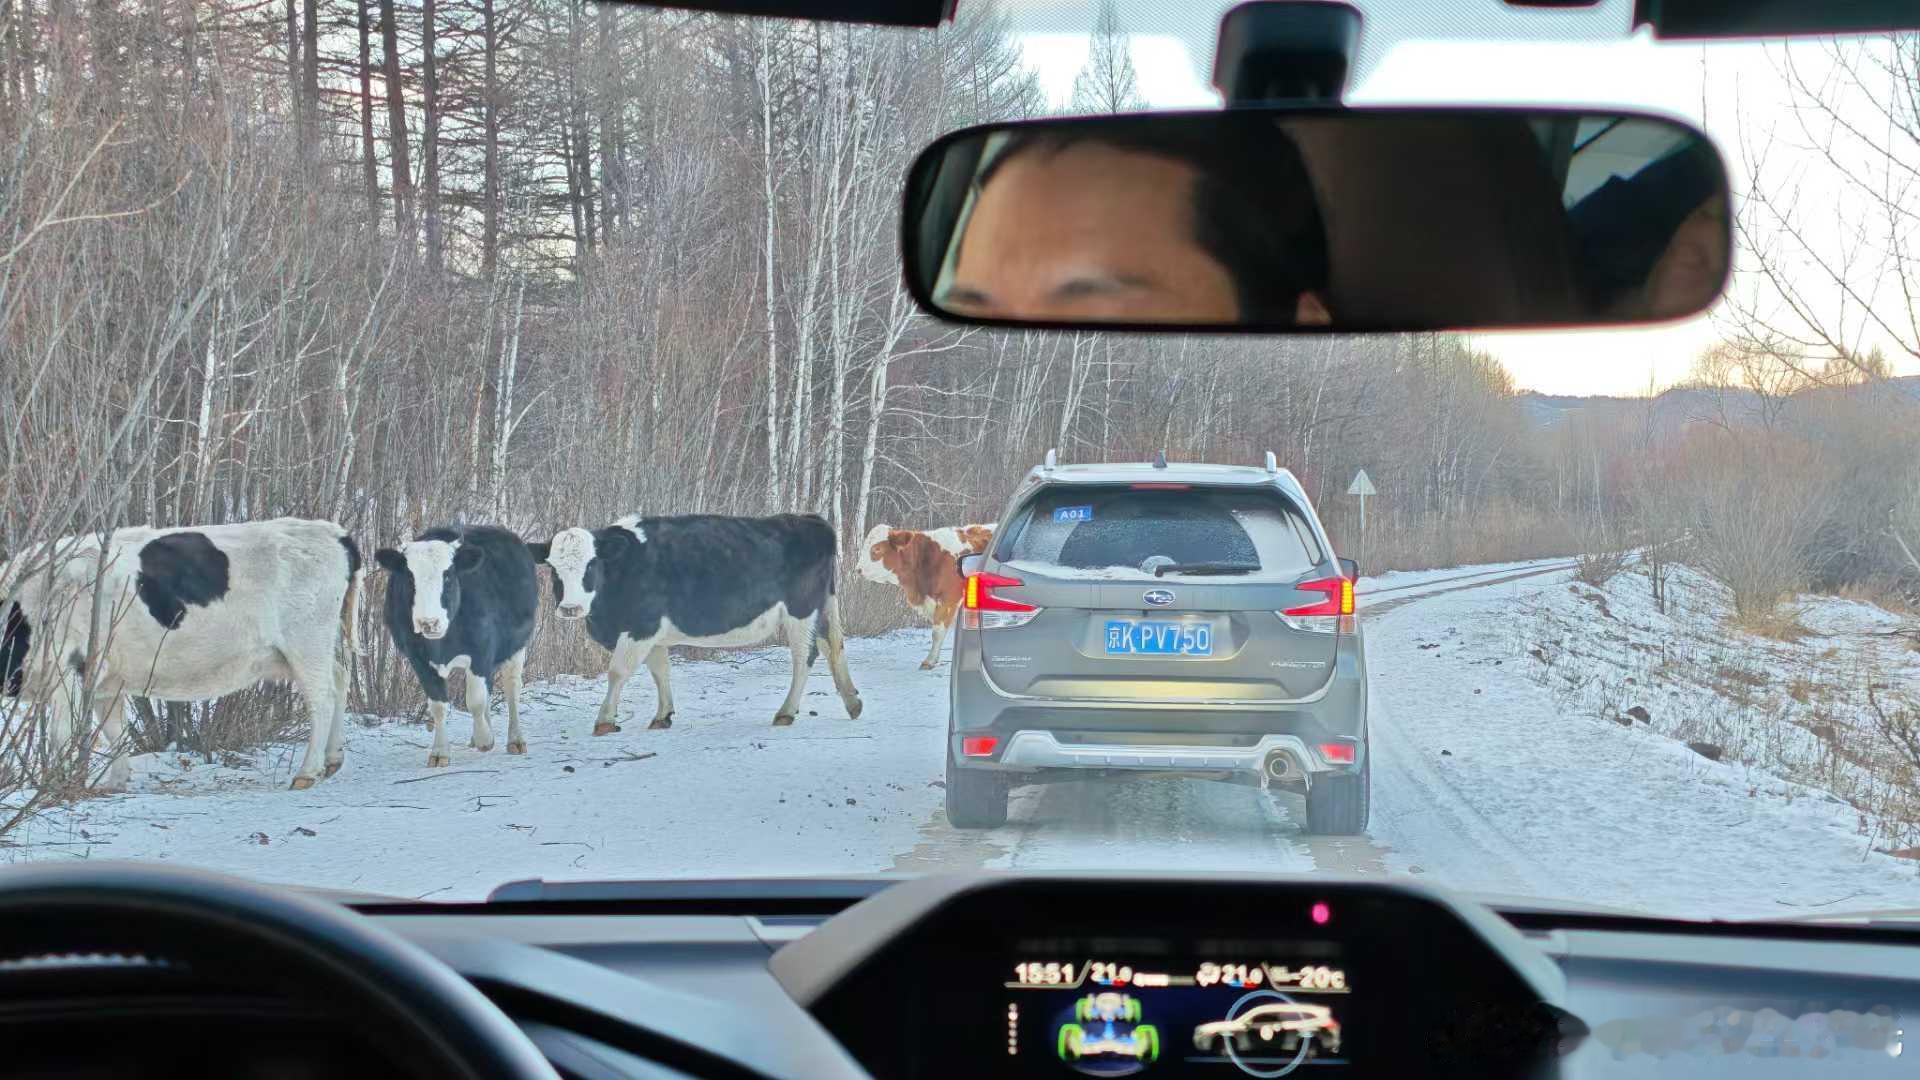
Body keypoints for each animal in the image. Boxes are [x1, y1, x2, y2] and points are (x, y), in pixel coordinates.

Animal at [0, 518, 362, 787]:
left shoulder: (65, 671)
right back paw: (333, 759)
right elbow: (115, 730)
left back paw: (307, 773)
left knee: (322, 697)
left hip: (307, 641)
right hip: (323, 644)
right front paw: (115, 784)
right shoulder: (106, 680)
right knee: (340, 680)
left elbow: (61, 736)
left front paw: (54, 787)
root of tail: (333, 533)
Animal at [376, 522, 541, 764]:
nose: (428, 622)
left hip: (516, 646)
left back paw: (515, 739)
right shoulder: (418, 659)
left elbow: (475, 700)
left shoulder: (482, 651)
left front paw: (484, 739)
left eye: (447, 577)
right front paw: (439, 752)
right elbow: (438, 706)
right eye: (410, 577)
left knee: (511, 688)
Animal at [526, 511, 856, 730]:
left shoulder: (640, 626)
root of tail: (809, 519)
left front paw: (605, 719)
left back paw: (786, 712)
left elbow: (618, 671)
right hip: (823, 607)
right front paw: (663, 715)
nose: (570, 608)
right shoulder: (651, 633)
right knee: (833, 646)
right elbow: (661, 671)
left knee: (805, 657)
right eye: (553, 568)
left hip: (801, 612)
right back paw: (853, 703)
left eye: (591, 564)